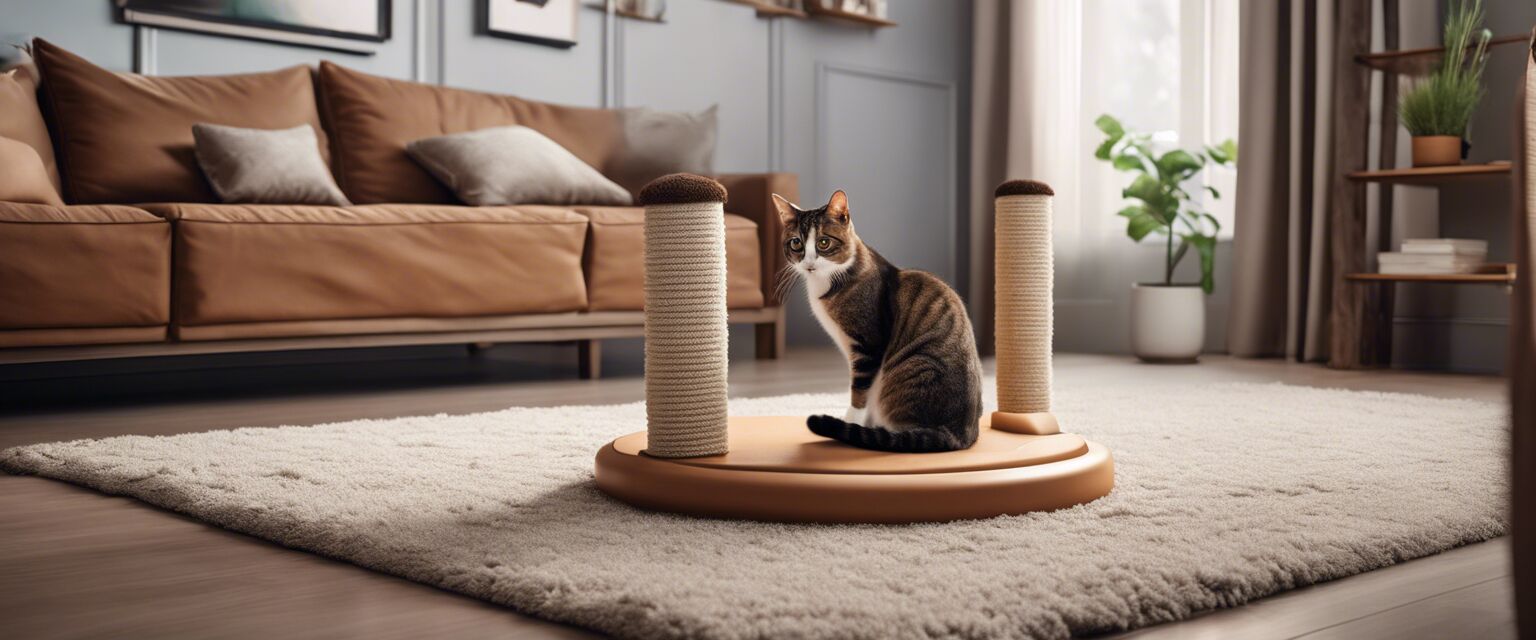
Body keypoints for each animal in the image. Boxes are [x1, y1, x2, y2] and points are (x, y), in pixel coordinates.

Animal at [774, 187, 976, 451]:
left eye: (824, 242)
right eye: (796, 243)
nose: (808, 263)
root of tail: (958, 433)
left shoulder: (869, 344)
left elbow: (860, 391)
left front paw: (851, 423)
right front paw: (862, 426)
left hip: (915, 365)